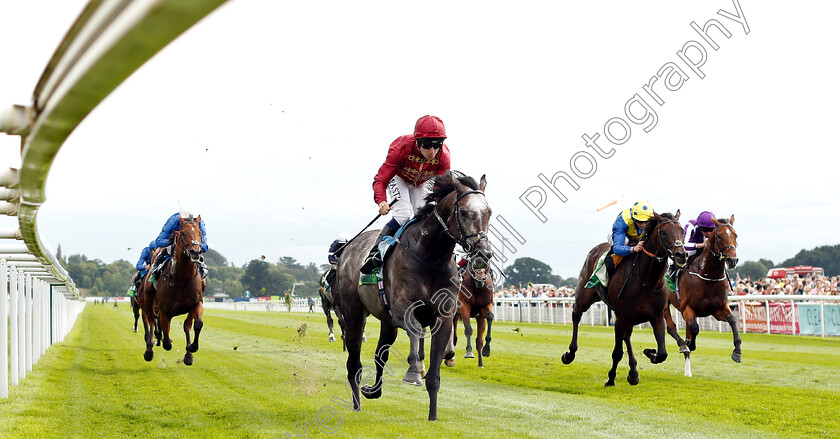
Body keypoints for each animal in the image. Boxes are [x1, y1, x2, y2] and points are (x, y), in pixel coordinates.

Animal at [141, 218, 205, 366]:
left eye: (200, 234)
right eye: (183, 233)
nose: (195, 252)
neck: (181, 278)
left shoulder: (196, 303)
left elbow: (196, 324)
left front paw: (192, 348)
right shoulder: (164, 310)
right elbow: (166, 340)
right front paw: (162, 341)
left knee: (186, 325)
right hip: (148, 297)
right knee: (151, 320)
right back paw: (149, 351)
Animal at [334, 172, 492, 422]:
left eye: (489, 212)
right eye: (464, 212)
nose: (483, 254)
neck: (431, 256)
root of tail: (347, 251)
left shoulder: (443, 318)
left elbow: (435, 375)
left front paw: (433, 416)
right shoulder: (402, 309)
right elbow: (416, 331)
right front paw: (413, 372)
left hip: (386, 320)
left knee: (380, 354)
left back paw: (373, 391)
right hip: (353, 313)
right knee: (354, 363)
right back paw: (357, 405)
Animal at [560, 211, 684, 386]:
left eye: (682, 231)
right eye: (664, 232)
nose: (682, 254)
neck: (646, 280)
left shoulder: (657, 316)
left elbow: (662, 353)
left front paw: (649, 352)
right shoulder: (621, 318)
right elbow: (617, 353)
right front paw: (611, 378)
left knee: (627, 336)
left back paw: (633, 371)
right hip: (585, 297)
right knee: (576, 315)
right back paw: (570, 354)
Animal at [668, 215, 740, 376]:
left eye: (736, 235)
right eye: (719, 236)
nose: (732, 260)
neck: (708, 276)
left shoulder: (718, 309)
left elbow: (733, 320)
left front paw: (737, 352)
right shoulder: (687, 308)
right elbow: (695, 328)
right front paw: (690, 344)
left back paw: (687, 370)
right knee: (671, 326)